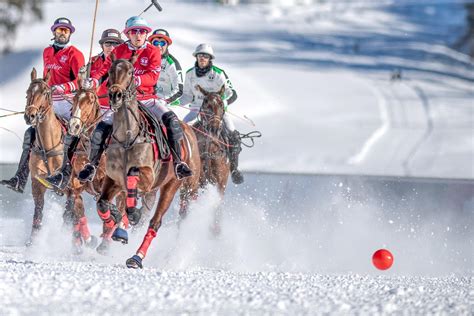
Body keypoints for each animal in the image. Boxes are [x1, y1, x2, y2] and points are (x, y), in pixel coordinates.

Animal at [97, 56, 201, 266]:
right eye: (110, 71)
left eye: (130, 71)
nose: (115, 95)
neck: (128, 136)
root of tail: (187, 128)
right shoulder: (112, 179)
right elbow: (102, 203)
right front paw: (113, 219)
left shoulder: (148, 177)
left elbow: (132, 177)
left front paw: (124, 218)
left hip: (172, 184)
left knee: (155, 221)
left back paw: (137, 257)